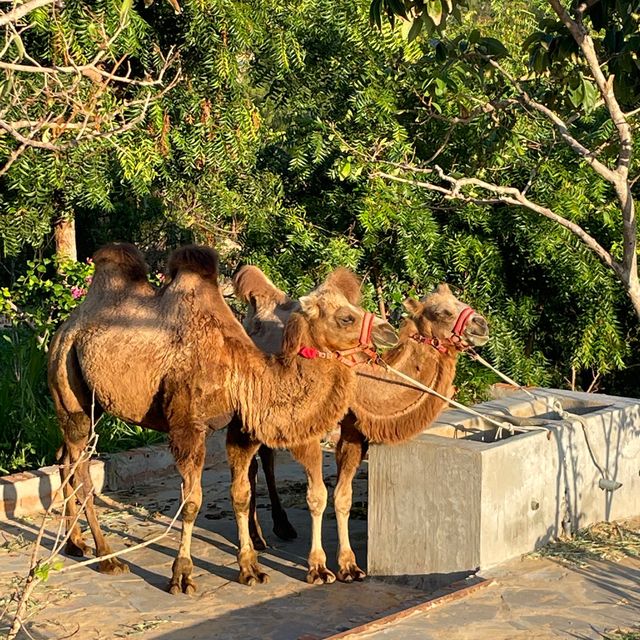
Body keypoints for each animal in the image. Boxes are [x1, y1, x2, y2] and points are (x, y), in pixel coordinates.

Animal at [47, 242, 396, 592]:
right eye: (346, 317)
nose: (389, 330)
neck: (242, 371)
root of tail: (64, 329)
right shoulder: (187, 427)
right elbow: (191, 502)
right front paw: (182, 575)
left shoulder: (240, 429)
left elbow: (240, 494)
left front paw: (250, 568)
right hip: (70, 386)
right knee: (81, 470)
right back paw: (107, 557)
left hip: (88, 402)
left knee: (64, 456)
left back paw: (75, 543)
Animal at [232, 264, 488, 580]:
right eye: (443, 312)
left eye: (459, 302)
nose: (482, 325)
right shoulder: (310, 430)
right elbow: (317, 497)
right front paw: (318, 567)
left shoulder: (352, 431)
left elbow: (343, 496)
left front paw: (349, 565)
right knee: (254, 466)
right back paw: (258, 538)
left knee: (265, 459)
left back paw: (280, 528)